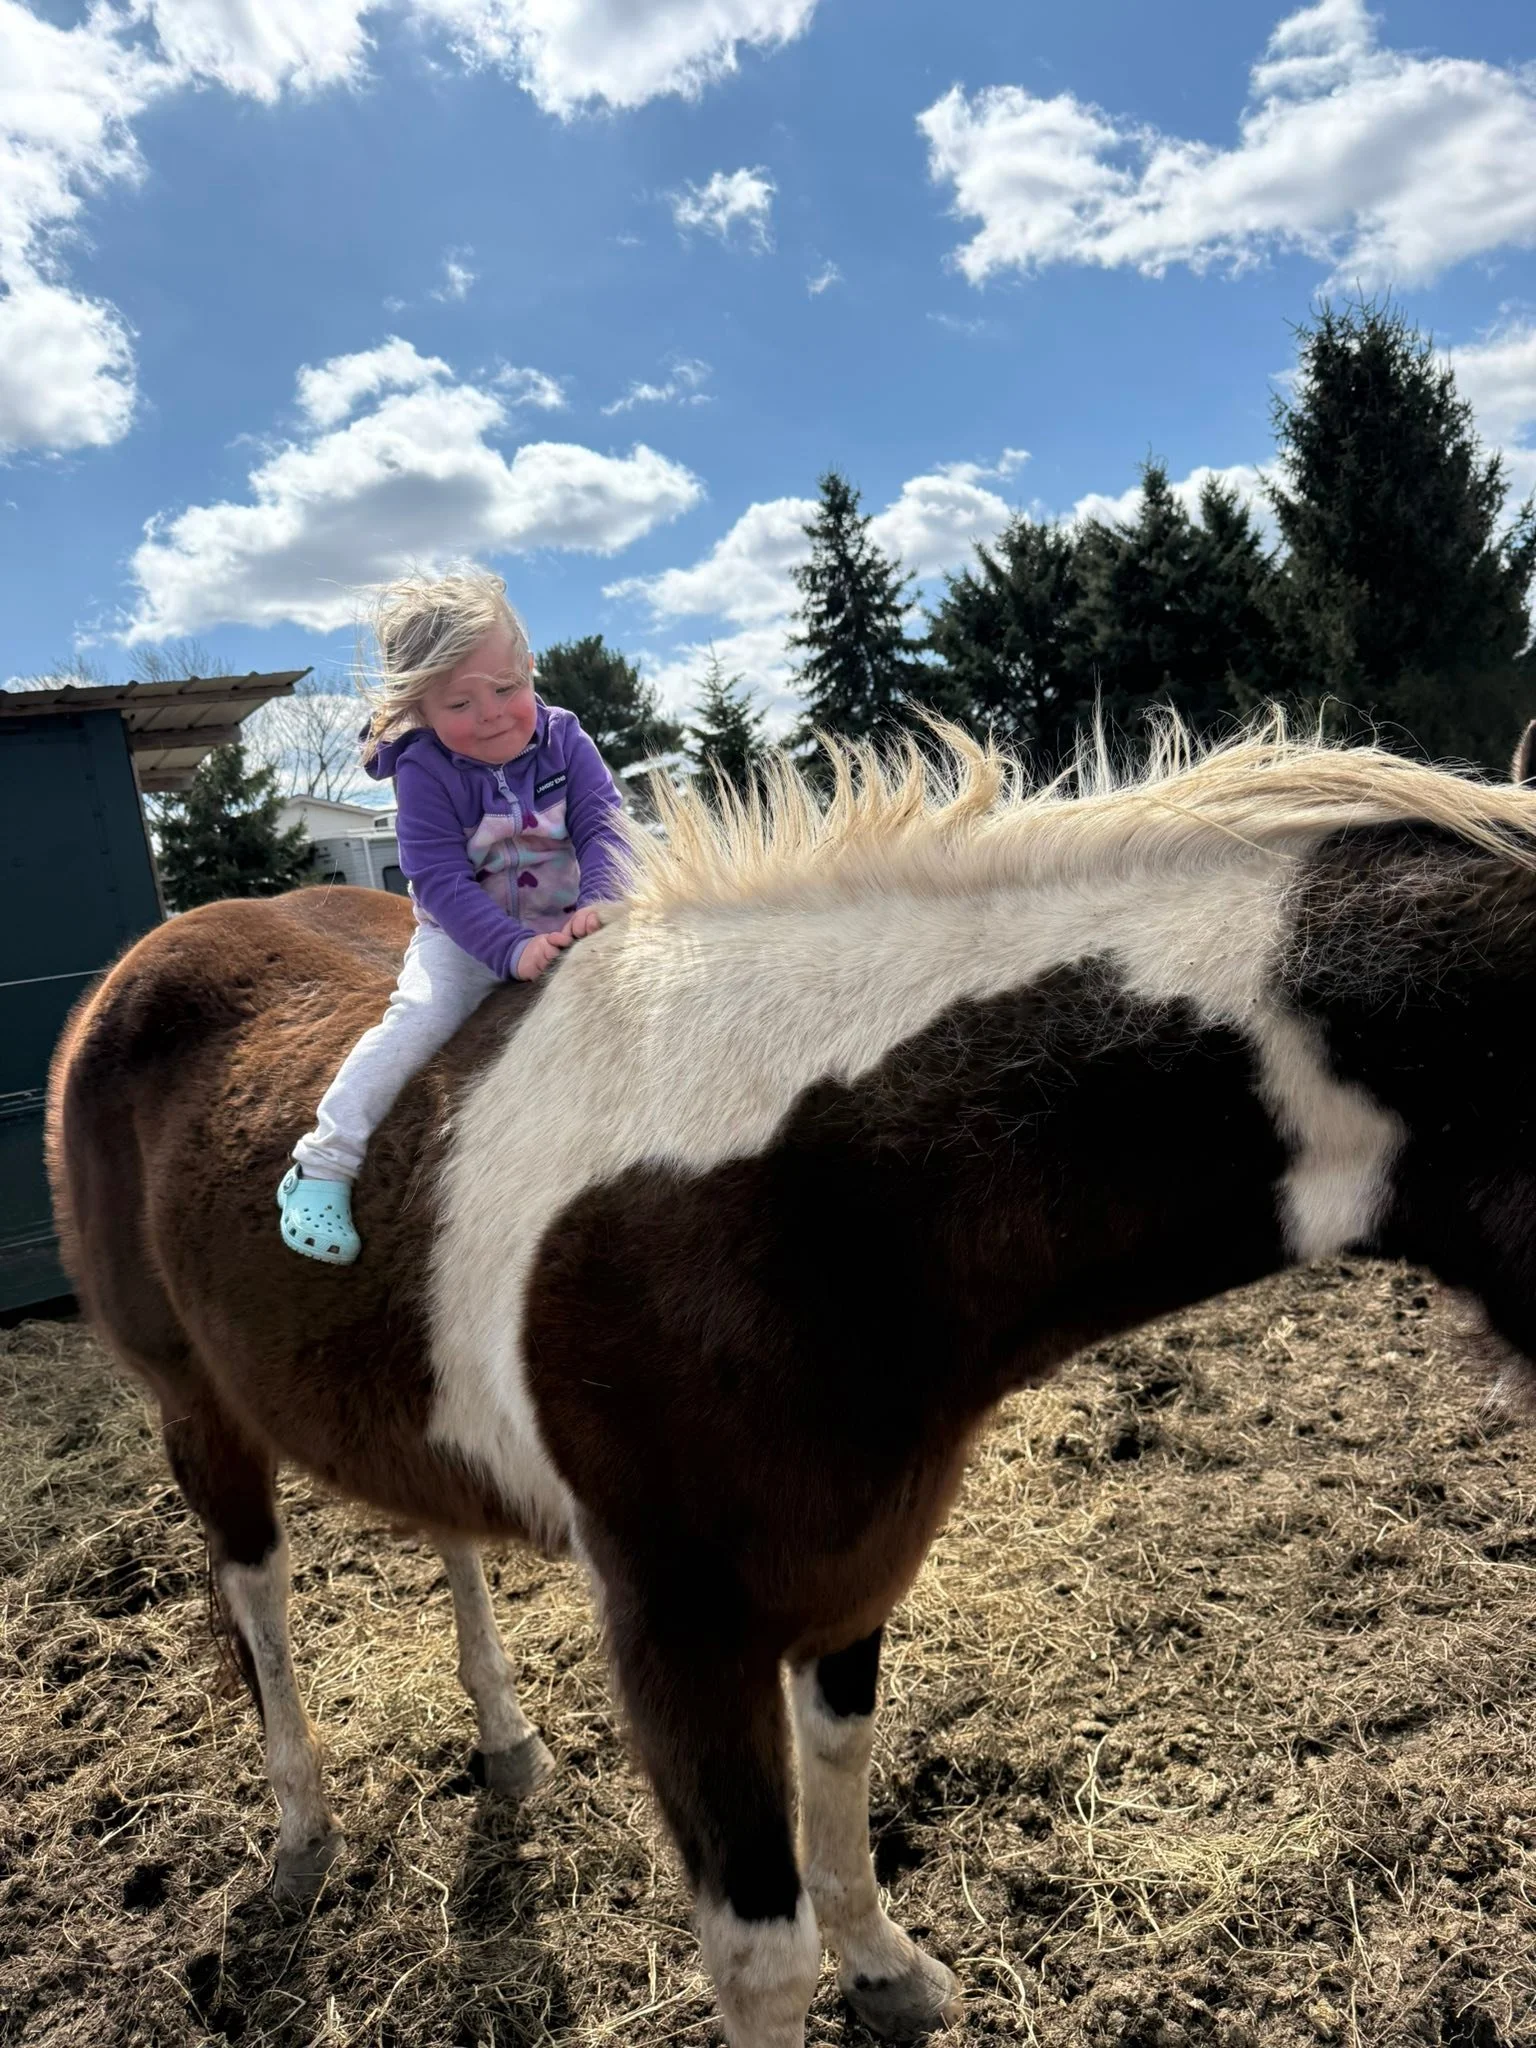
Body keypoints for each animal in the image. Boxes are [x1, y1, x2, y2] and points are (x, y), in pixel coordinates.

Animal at [47, 717, 1536, 2048]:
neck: (811, 1190)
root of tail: (140, 970)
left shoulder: (848, 1561)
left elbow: (843, 1780)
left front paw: (887, 1971)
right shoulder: (679, 1632)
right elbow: (762, 1955)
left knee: (431, 1521)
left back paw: (507, 1744)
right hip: (194, 1412)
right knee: (256, 1597)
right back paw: (302, 1831)